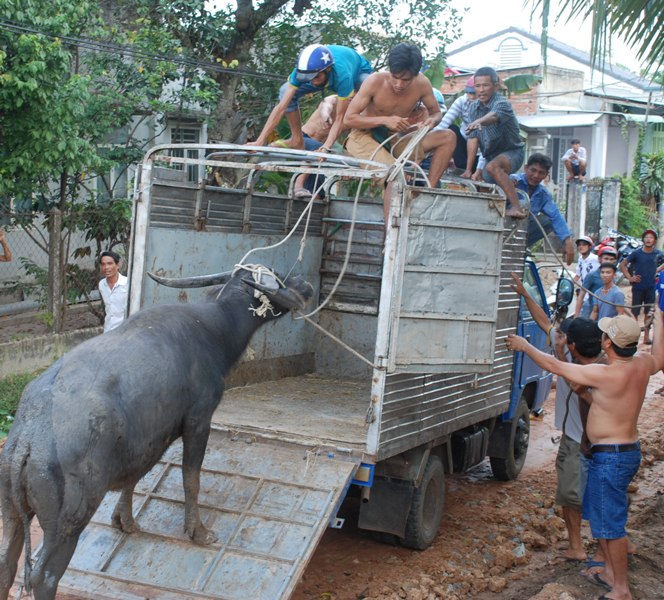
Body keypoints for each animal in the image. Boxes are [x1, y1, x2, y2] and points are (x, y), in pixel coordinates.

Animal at [0, 264, 314, 596]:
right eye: (278, 275)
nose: (306, 285)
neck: (215, 328)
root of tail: (26, 441)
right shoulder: (198, 420)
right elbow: (191, 478)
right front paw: (198, 531)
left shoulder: (146, 438)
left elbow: (136, 475)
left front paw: (124, 520)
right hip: (66, 522)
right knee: (44, 575)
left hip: (11, 510)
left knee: (7, 563)